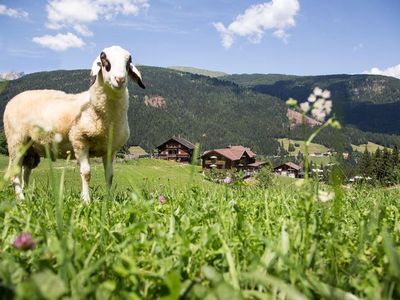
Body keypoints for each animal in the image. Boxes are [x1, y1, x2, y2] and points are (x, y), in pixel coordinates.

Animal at [3, 45, 145, 203]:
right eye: (104, 61)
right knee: (15, 171)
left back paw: (28, 196)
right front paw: (86, 200)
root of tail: (14, 99)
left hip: (31, 148)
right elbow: (86, 173)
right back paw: (21, 199)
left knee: (26, 170)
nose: (120, 79)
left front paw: (109, 201)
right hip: (16, 141)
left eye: (128, 63)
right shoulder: (79, 140)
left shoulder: (110, 149)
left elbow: (109, 176)